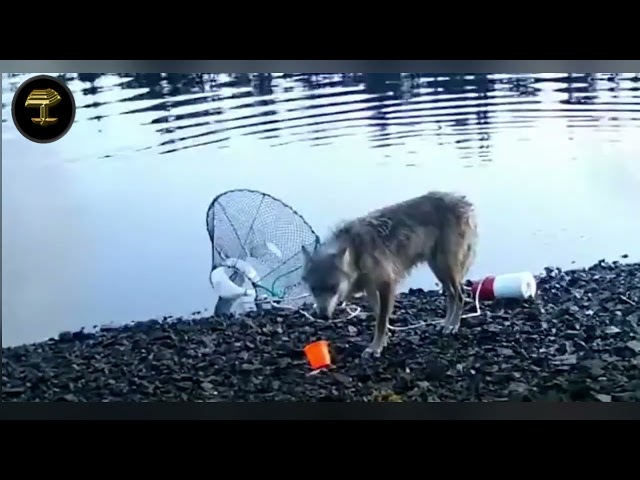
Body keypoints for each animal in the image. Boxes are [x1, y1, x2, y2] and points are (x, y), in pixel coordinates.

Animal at [301, 191, 478, 357]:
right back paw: (446, 324)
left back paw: (453, 325)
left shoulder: (386, 284)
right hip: (439, 269)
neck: (357, 250)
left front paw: (375, 348)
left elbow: (380, 321)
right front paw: (383, 341)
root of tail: (463, 201)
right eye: (313, 289)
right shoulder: (371, 289)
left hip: (446, 267)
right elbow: (380, 315)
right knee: (452, 295)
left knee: (460, 294)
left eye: (334, 287)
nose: (323, 316)